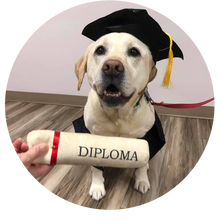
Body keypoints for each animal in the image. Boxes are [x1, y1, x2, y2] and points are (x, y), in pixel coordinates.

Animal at [75, 33, 158, 201]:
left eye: (134, 51)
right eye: (100, 50)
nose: (112, 67)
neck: (118, 115)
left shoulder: (147, 136)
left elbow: (141, 166)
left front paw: (142, 181)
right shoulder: (94, 136)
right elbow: (96, 167)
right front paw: (97, 187)